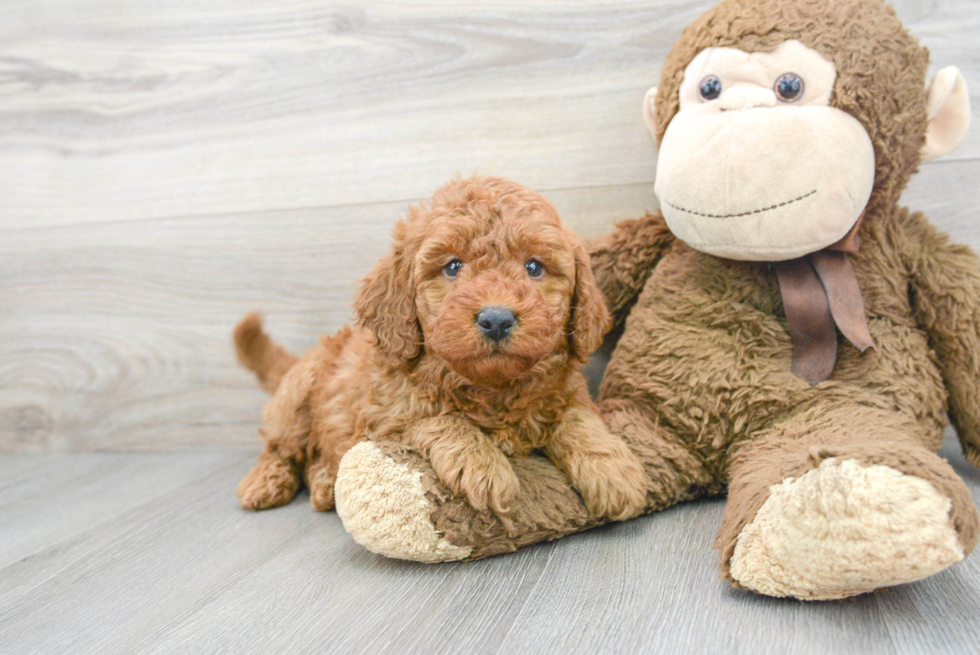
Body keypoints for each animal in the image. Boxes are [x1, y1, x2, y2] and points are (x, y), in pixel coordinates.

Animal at [235, 177, 652, 520]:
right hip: (297, 398)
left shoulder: (567, 392)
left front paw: (612, 470)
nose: (496, 319)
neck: (492, 388)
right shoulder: (385, 417)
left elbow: (579, 420)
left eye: (534, 267)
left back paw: (324, 483)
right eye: (452, 267)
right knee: (278, 446)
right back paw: (265, 482)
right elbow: (438, 419)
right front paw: (482, 466)